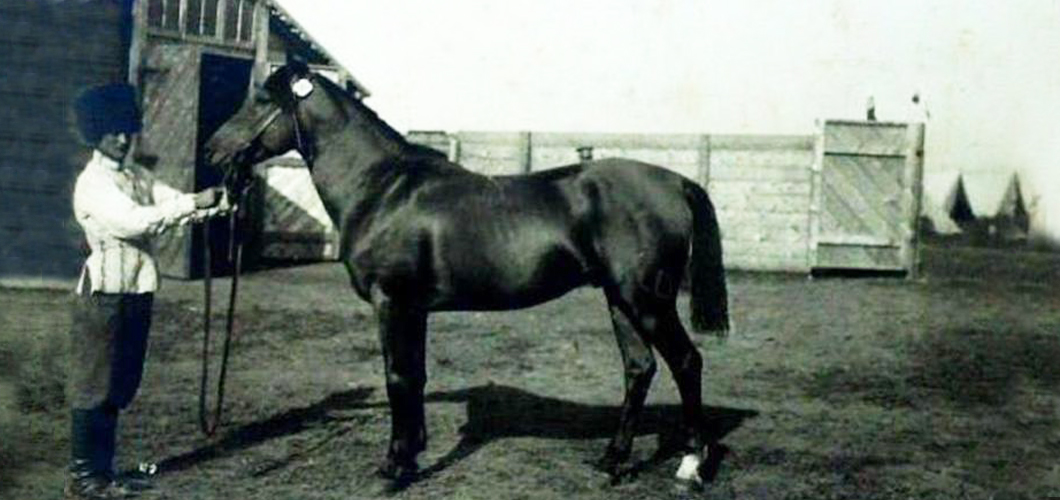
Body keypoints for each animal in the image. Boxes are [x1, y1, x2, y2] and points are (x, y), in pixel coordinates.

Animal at [205, 61, 729, 487]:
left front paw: (395, 466)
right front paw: (413, 453)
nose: (212, 152)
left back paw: (690, 466)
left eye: (262, 100)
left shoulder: (391, 301)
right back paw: (612, 461)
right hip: (620, 301)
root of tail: (676, 182)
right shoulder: (414, 308)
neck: (382, 188)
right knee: (639, 368)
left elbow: (397, 376)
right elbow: (415, 376)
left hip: (647, 300)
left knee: (687, 362)